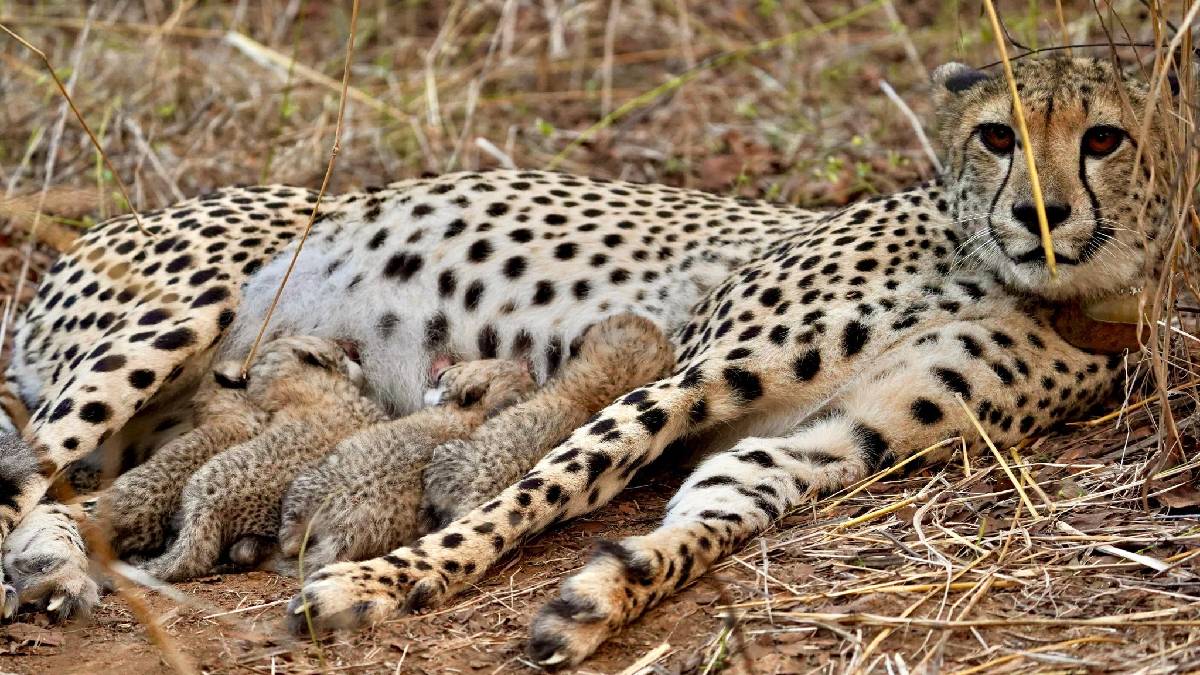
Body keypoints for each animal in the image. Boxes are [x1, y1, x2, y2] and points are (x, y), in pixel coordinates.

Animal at [0, 57, 1170, 667]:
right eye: (996, 135)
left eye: (1103, 137)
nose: (1042, 215)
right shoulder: (688, 372)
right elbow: (539, 487)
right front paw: (387, 582)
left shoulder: (828, 440)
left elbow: (707, 517)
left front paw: (603, 596)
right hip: (170, 318)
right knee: (27, 472)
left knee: (69, 492)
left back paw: (63, 567)